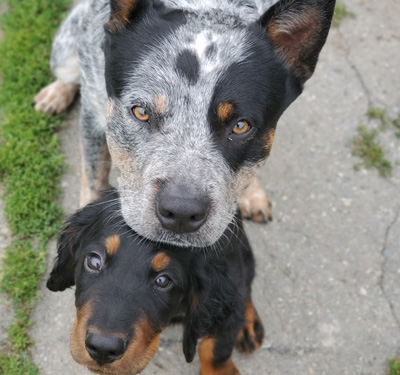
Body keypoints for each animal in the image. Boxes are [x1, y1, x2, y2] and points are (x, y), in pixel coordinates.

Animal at [34, 0, 336, 250]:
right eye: (140, 112)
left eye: (241, 126)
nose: (180, 213)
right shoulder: (95, 115)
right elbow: (93, 180)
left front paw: (252, 193)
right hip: (65, 53)